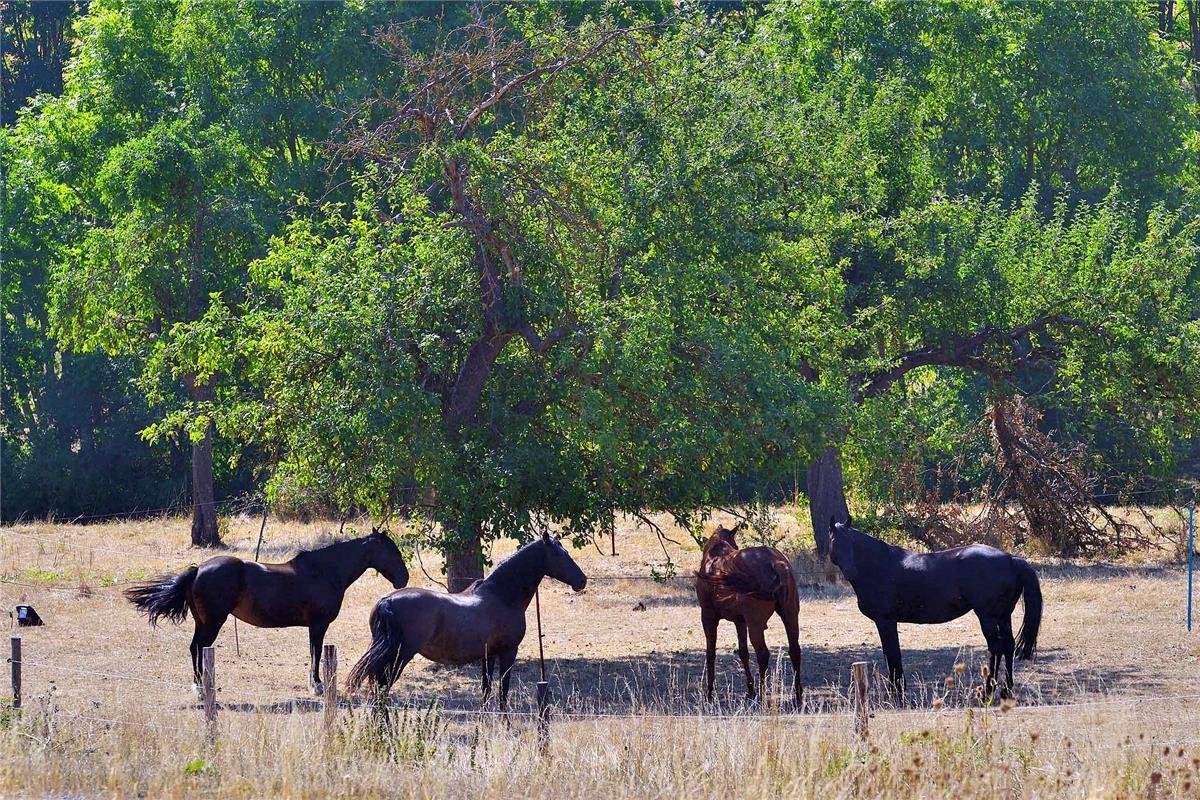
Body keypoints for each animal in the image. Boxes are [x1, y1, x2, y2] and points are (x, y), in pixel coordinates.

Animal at [124, 525, 408, 695]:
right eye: (392, 551)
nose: (403, 579)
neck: (324, 572)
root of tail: (198, 570)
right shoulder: (318, 625)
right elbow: (316, 653)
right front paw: (317, 686)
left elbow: (312, 653)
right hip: (212, 622)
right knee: (197, 648)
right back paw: (202, 689)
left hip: (202, 622)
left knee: (194, 648)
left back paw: (199, 686)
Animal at [345, 532, 588, 714]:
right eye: (560, 555)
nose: (582, 581)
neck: (502, 596)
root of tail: (386, 601)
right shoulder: (508, 653)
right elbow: (503, 694)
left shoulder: (488, 656)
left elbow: (486, 691)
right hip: (398, 658)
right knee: (381, 691)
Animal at [696, 525, 806, 705]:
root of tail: (776, 563)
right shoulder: (740, 621)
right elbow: (743, 653)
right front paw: (750, 690)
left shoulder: (708, 617)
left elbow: (710, 654)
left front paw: (709, 694)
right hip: (790, 616)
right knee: (795, 650)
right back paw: (797, 696)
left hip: (756, 625)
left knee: (763, 654)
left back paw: (762, 695)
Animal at [825, 520, 1041, 700]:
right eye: (835, 541)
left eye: (851, 542)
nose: (851, 571)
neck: (879, 566)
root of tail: (1010, 559)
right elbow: (891, 655)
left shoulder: (885, 621)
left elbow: (892, 655)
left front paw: (897, 693)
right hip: (1003, 616)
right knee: (1008, 646)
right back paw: (1005, 690)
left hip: (987, 617)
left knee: (996, 647)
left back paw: (988, 691)